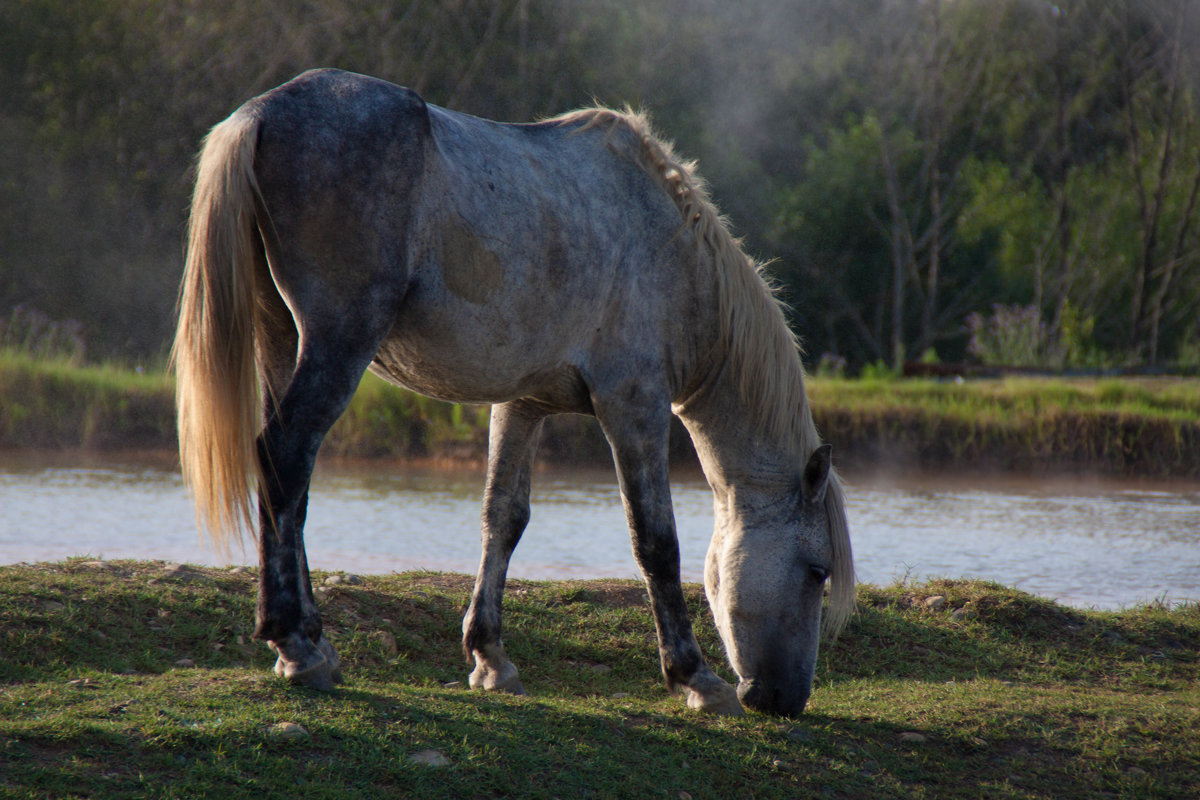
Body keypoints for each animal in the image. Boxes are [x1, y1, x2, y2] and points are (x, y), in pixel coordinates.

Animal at [174, 70, 859, 719]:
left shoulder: (523, 405)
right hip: (339, 341)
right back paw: (295, 645)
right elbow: (656, 541)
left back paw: (315, 636)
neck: (672, 254)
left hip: (281, 339)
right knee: (286, 456)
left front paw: (490, 659)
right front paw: (694, 677)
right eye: (817, 571)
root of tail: (261, 113)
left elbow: (503, 519)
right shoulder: (633, 406)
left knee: (290, 486)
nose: (786, 699)